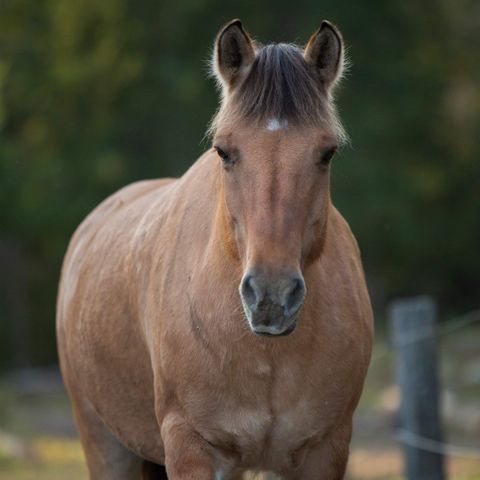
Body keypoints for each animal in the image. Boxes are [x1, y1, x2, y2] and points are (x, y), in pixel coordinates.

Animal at [55, 18, 372, 480]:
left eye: (327, 153)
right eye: (223, 151)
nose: (271, 297)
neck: (265, 354)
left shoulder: (325, 450)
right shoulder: (191, 448)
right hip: (103, 443)